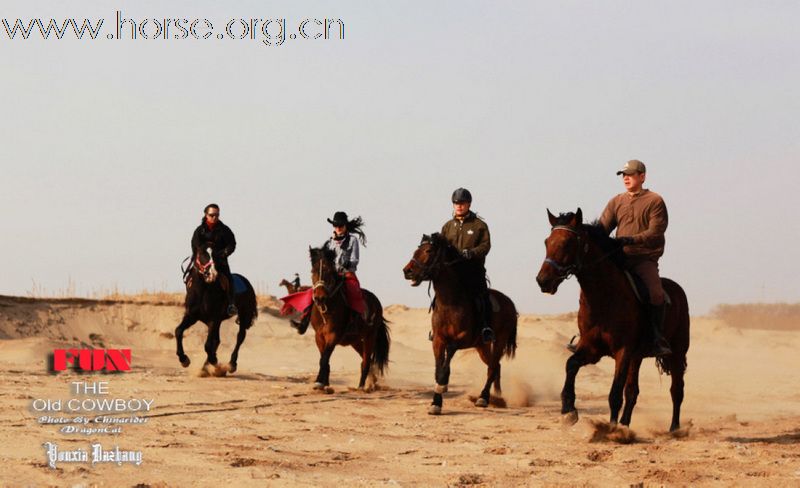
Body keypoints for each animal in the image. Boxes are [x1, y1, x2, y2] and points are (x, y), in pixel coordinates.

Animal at [174, 244, 256, 378]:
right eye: (201, 254)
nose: (211, 274)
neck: (202, 291)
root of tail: (246, 281)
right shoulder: (191, 316)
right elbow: (178, 331)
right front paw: (184, 359)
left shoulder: (213, 319)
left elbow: (208, 345)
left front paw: (215, 362)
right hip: (217, 321)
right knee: (217, 341)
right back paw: (207, 367)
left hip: (243, 316)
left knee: (240, 337)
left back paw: (231, 365)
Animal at [304, 246, 390, 390]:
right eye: (313, 271)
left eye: (328, 271)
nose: (320, 298)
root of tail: (377, 303)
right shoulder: (319, 336)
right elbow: (324, 359)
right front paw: (324, 383)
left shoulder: (333, 335)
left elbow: (324, 358)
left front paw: (319, 382)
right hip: (355, 341)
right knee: (364, 359)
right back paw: (372, 382)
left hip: (370, 337)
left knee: (366, 361)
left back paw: (361, 387)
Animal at [400, 234, 520, 416]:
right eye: (417, 250)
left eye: (428, 251)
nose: (407, 271)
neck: (450, 302)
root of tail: (510, 303)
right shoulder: (438, 340)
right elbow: (438, 368)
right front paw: (436, 402)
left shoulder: (461, 339)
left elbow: (446, 363)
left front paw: (442, 386)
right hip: (482, 346)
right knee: (495, 366)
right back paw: (497, 397)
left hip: (499, 341)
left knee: (493, 368)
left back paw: (484, 398)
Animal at [536, 210, 692, 430]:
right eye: (547, 242)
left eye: (567, 243)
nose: (543, 281)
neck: (605, 299)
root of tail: (677, 290)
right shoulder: (591, 349)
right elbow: (571, 365)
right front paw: (568, 411)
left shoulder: (623, 352)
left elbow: (615, 394)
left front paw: (610, 429)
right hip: (637, 357)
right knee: (633, 391)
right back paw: (625, 425)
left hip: (677, 353)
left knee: (676, 390)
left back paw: (674, 429)